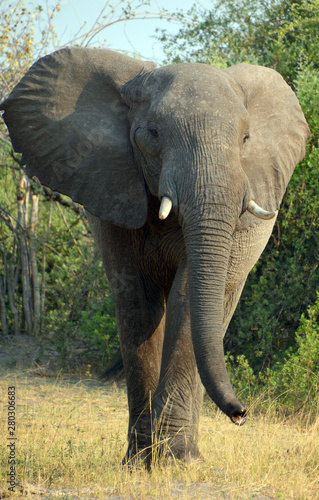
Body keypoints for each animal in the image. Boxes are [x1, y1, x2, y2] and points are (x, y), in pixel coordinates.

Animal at [0, 48, 310, 466]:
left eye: (246, 138)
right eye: (153, 133)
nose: (241, 414)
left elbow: (186, 297)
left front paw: (174, 461)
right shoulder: (113, 191)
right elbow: (136, 301)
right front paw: (140, 462)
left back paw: (189, 454)